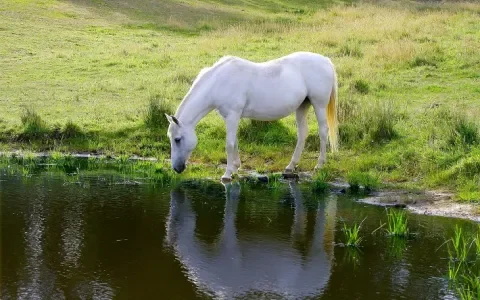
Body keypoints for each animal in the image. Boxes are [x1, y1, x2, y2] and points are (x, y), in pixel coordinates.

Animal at [167, 51, 340, 180]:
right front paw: (235, 167)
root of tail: (325, 60)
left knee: (323, 131)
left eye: (177, 139)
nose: (177, 168)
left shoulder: (233, 115)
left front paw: (227, 174)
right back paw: (291, 166)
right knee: (302, 133)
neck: (219, 81)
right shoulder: (230, 117)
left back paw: (319, 165)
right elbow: (235, 142)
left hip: (319, 105)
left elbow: (229, 144)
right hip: (302, 106)